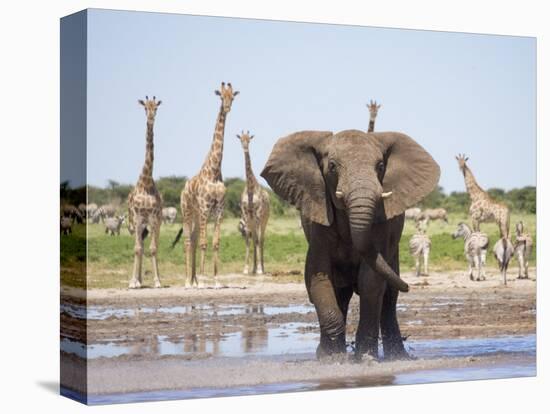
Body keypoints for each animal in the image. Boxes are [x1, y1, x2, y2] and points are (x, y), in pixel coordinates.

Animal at [180, 81, 238, 288]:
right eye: (221, 96)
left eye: (232, 96)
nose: (227, 107)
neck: (214, 170)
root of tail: (183, 190)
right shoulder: (205, 207)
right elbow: (204, 243)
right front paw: (204, 281)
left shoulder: (219, 208)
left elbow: (215, 243)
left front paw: (216, 280)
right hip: (187, 211)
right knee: (188, 241)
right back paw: (188, 281)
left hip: (198, 216)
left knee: (194, 239)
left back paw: (194, 280)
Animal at [262, 129, 440, 360]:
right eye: (332, 166)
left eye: (380, 166)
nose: (410, 285)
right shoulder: (319, 221)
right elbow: (318, 276)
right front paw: (331, 359)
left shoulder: (382, 222)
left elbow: (370, 280)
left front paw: (365, 358)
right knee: (342, 293)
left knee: (389, 297)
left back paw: (397, 357)